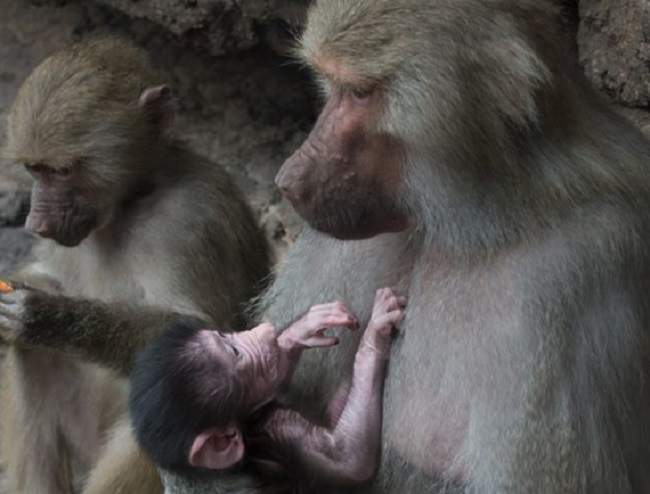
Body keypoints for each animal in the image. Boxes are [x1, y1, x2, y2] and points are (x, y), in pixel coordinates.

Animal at [0, 37, 270, 494]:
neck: (130, 202)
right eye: (34, 169)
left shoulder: (191, 220)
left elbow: (202, 335)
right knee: (32, 356)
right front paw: (21, 288)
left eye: (63, 170)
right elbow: (47, 278)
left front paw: (45, 315)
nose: (35, 224)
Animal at [130, 289, 404, 490]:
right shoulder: (272, 425)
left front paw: (298, 331)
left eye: (224, 337)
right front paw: (374, 335)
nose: (259, 332)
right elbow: (348, 458)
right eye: (234, 352)